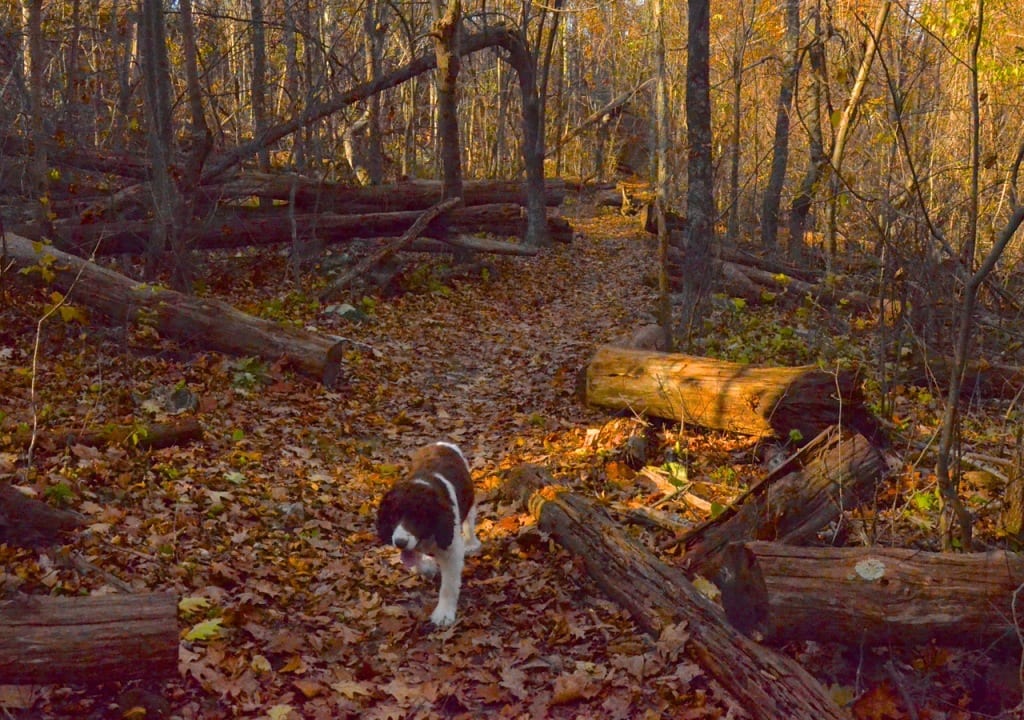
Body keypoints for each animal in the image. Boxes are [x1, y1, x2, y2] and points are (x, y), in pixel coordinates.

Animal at [376, 442, 479, 622]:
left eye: (418, 518)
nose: (399, 543)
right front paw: (428, 567)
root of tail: (441, 443)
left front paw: (443, 613)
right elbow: (416, 560)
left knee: (469, 522)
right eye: (393, 515)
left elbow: (449, 585)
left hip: (470, 502)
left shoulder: (451, 548)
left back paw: (472, 544)